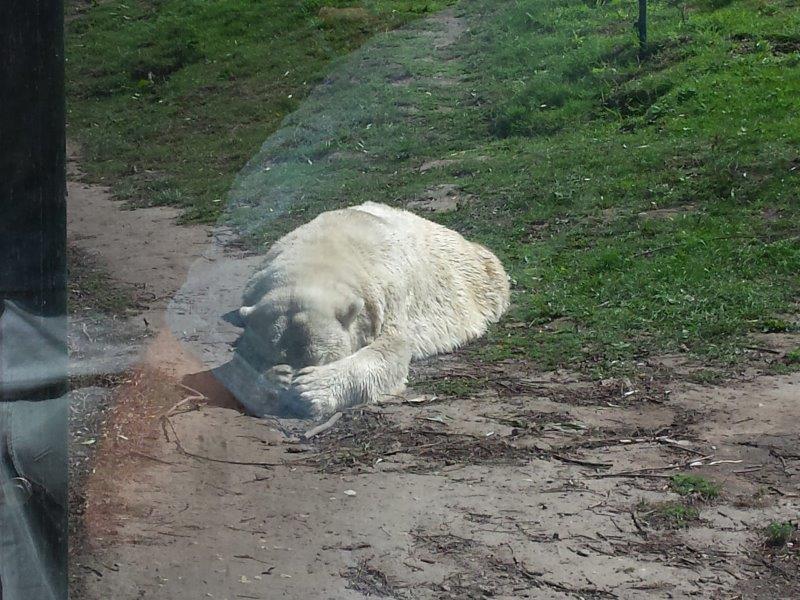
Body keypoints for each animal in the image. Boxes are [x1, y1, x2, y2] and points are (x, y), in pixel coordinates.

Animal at [228, 202, 510, 418]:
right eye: (270, 355)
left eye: (318, 359)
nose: (289, 400)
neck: (322, 255)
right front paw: (277, 378)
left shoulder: (386, 294)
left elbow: (389, 351)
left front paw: (310, 389)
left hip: (476, 280)